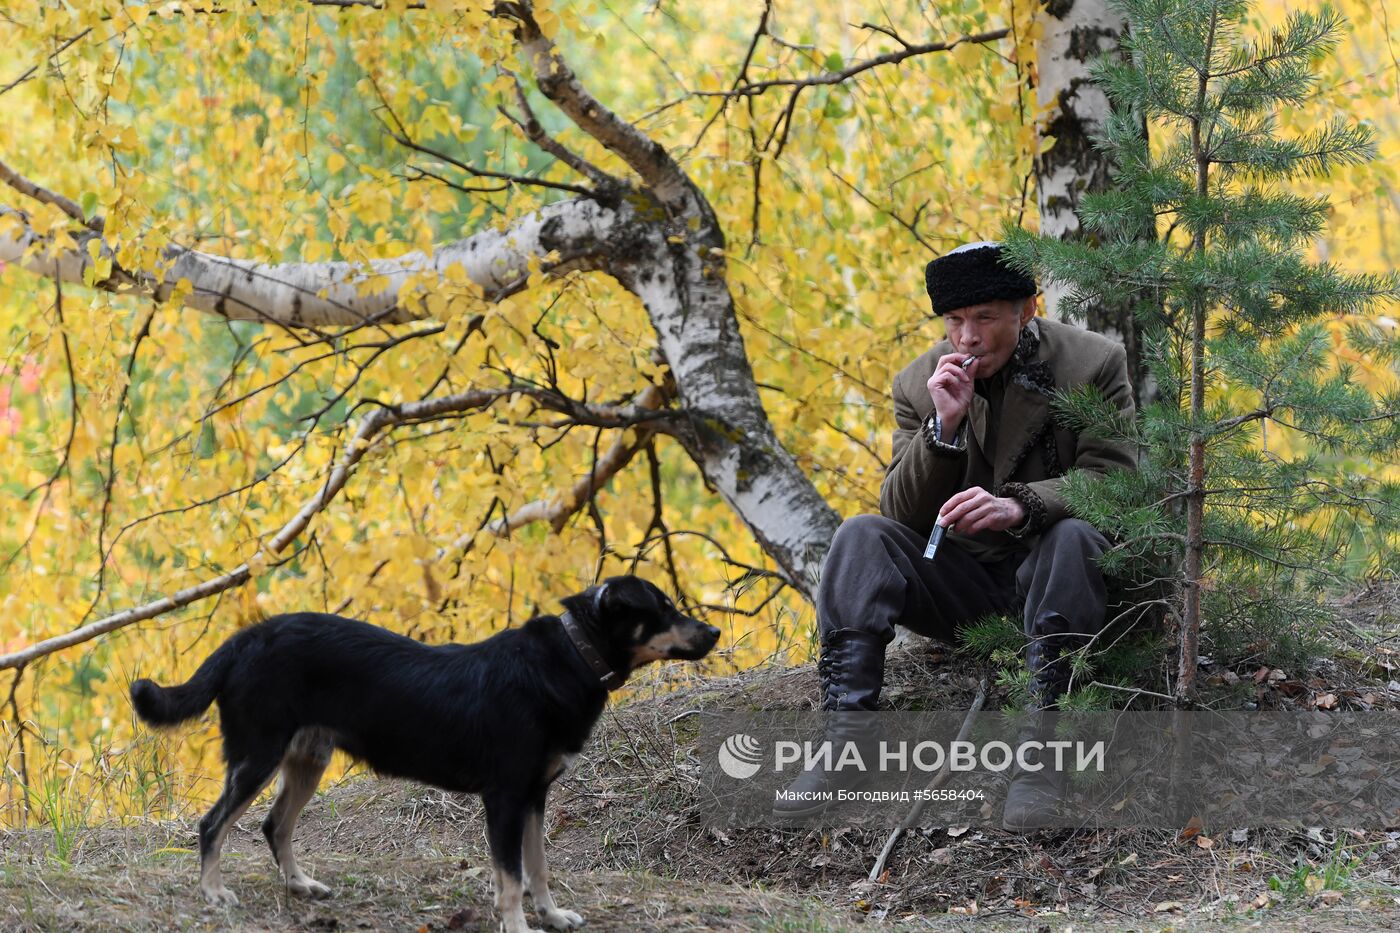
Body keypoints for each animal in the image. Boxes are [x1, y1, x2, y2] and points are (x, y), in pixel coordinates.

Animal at [128, 574, 722, 930]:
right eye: (663, 608)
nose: (715, 630)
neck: (570, 658)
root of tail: (245, 639)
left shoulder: (534, 797)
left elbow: (538, 868)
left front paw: (552, 917)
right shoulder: (506, 798)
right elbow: (512, 878)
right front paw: (517, 925)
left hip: (306, 760)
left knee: (275, 826)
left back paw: (300, 885)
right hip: (258, 756)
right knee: (212, 824)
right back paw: (214, 893)